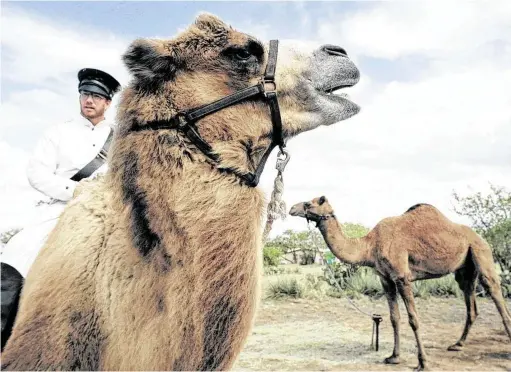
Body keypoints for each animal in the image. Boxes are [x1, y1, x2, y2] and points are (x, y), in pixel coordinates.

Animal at [290, 196, 510, 370]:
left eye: (308, 203)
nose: (292, 208)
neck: (370, 245)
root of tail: (480, 236)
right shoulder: (385, 279)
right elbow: (394, 317)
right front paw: (394, 357)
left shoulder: (403, 277)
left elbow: (413, 318)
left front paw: (422, 363)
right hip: (465, 269)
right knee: (471, 303)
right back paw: (457, 344)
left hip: (481, 251)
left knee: (494, 290)